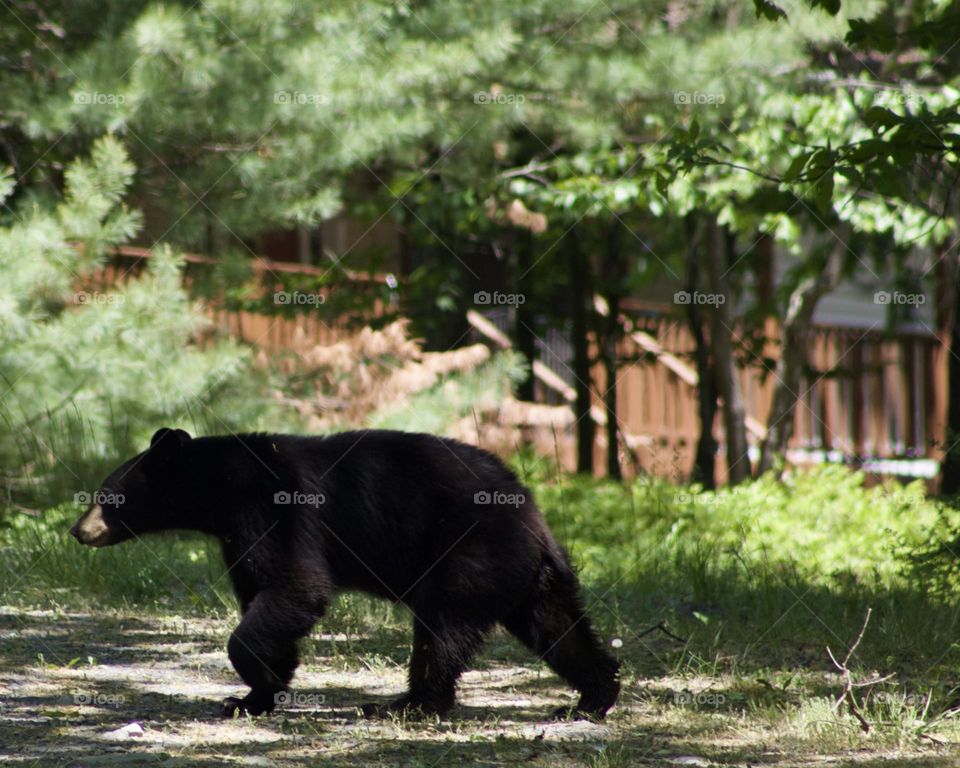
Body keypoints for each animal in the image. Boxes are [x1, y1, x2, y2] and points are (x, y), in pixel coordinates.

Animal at [69, 426, 624, 720]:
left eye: (108, 495)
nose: (78, 531)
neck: (224, 487)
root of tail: (533, 514)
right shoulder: (236, 537)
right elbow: (263, 592)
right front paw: (253, 695)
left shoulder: (276, 511)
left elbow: (298, 585)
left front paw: (254, 677)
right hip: (527, 574)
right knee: (558, 627)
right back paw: (591, 698)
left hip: (471, 552)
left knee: (443, 627)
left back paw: (410, 704)